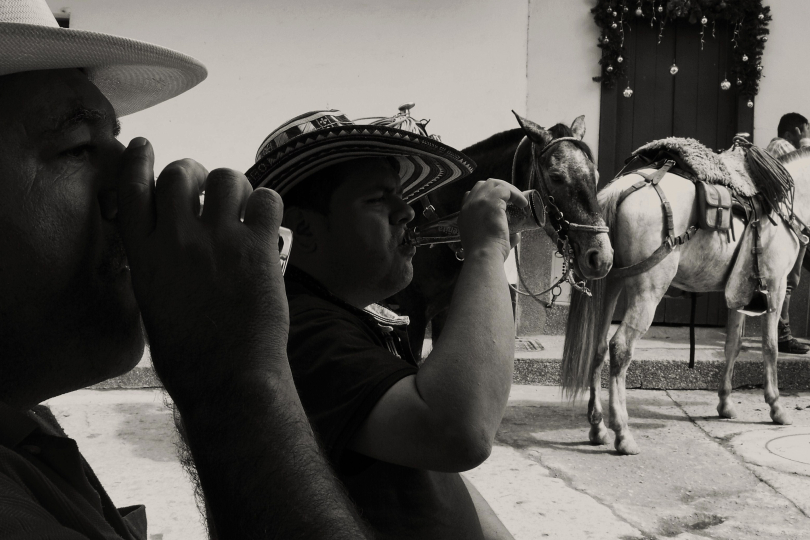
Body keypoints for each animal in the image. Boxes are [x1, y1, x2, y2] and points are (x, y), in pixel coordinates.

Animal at [560, 146, 808, 454]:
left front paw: (725, 403)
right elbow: (770, 348)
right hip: (648, 290)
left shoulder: (740, 291)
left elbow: (733, 345)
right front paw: (776, 407)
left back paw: (597, 427)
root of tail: (620, 190)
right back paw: (623, 433)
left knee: (600, 344)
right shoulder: (775, 286)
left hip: (611, 284)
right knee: (620, 348)